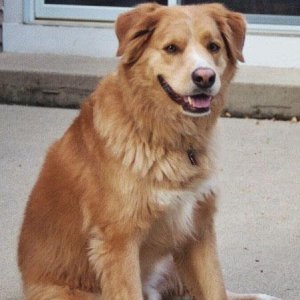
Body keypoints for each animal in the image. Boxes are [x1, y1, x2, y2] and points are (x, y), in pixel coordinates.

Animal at [18, 2, 282, 300]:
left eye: (213, 46)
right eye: (171, 48)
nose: (205, 77)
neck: (166, 138)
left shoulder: (197, 229)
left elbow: (216, 289)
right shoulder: (118, 242)